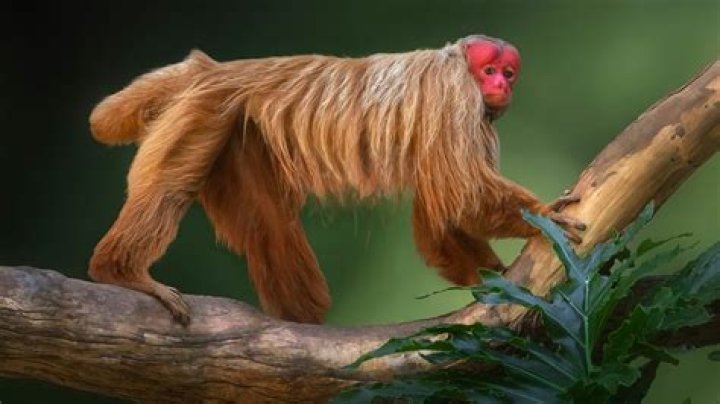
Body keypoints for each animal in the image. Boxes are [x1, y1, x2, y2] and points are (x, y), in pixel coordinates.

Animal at [88, 35, 584, 325]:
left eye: (508, 72)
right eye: (489, 71)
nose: (501, 86)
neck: (460, 66)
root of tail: (216, 69)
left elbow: (440, 215)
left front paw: (492, 276)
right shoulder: (456, 97)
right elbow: (459, 192)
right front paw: (542, 217)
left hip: (236, 131)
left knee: (268, 223)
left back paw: (298, 319)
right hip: (201, 114)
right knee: (170, 191)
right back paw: (120, 271)